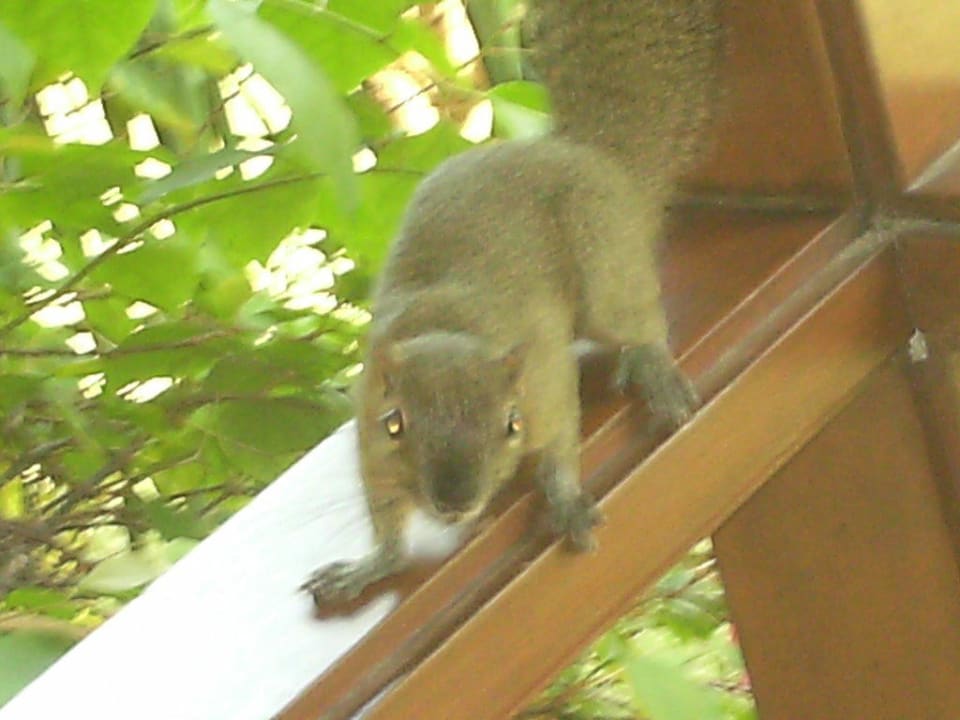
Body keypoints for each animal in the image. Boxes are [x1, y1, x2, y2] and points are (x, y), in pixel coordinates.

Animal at [303, 0, 721, 606]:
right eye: (394, 423)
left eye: (512, 424)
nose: (455, 503)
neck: (452, 326)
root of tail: (591, 155)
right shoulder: (368, 443)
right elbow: (385, 521)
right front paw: (369, 566)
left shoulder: (547, 384)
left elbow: (563, 442)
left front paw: (565, 499)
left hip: (604, 268)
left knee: (641, 319)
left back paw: (654, 368)